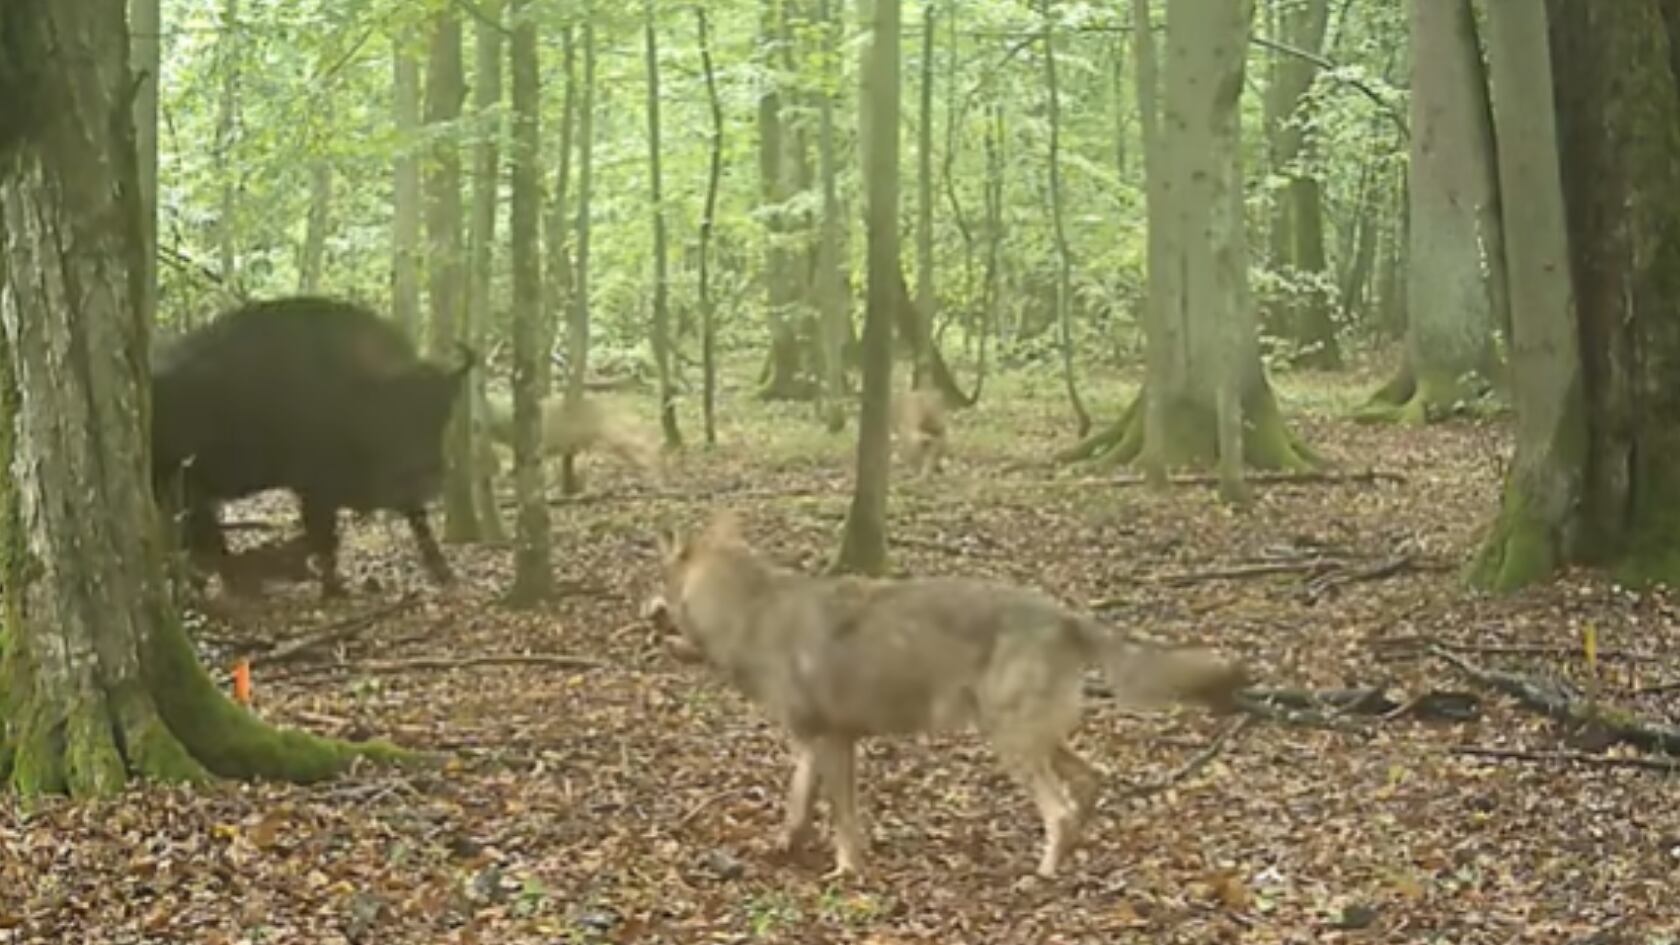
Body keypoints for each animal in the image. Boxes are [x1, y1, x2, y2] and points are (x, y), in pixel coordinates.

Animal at [649, 512, 1247, 879]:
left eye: (658, 580)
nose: (645, 610)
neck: (750, 613)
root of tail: (1064, 614)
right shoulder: (815, 743)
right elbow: (797, 807)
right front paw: (784, 849)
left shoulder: (835, 743)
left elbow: (843, 820)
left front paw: (846, 871)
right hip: (1030, 738)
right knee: (1089, 783)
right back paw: (1075, 848)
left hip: (1011, 743)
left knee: (1057, 809)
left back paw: (1045, 873)